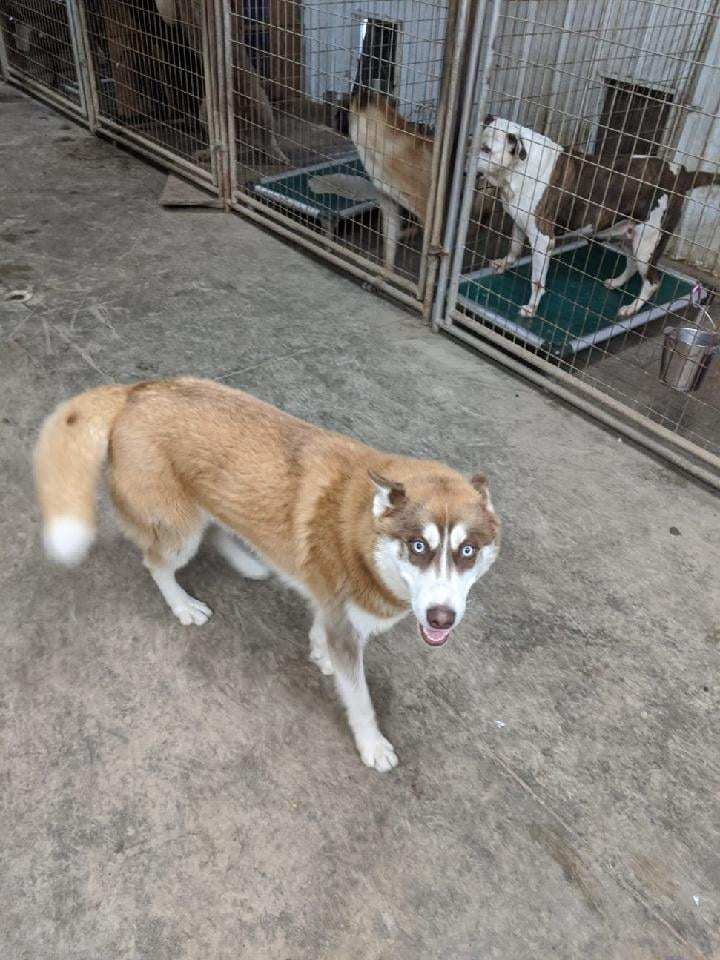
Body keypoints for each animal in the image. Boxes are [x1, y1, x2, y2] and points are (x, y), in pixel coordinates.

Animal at [32, 376, 496, 772]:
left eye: (467, 551)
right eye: (418, 546)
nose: (441, 618)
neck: (363, 534)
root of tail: (136, 390)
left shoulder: (332, 606)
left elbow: (321, 630)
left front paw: (320, 654)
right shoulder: (347, 628)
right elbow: (361, 700)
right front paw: (372, 745)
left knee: (218, 528)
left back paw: (248, 563)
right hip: (181, 531)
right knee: (157, 562)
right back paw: (182, 604)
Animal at [478, 116, 720, 318]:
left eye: (487, 149)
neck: (519, 168)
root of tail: (681, 174)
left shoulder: (543, 239)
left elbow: (537, 280)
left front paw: (532, 307)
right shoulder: (520, 223)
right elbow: (514, 247)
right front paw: (504, 263)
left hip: (648, 243)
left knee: (652, 281)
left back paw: (632, 308)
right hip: (629, 235)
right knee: (632, 265)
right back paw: (617, 283)